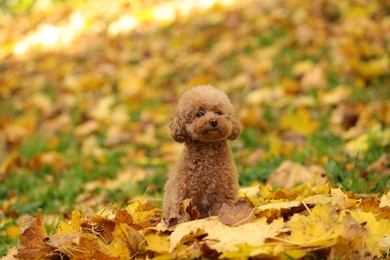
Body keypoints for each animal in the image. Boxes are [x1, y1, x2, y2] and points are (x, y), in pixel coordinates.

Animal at [161, 85, 241, 221]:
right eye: (199, 114)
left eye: (218, 112)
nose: (213, 121)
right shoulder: (181, 196)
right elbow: (181, 218)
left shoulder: (224, 193)